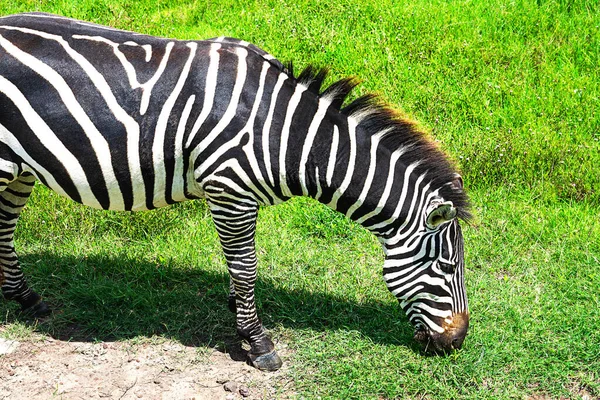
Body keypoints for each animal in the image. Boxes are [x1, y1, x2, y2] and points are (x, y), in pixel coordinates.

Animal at [0, 11, 472, 368]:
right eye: (448, 266)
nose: (458, 343)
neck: (289, 134)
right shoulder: (229, 189)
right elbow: (246, 266)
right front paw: (258, 342)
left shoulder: (233, 196)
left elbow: (236, 264)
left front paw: (237, 310)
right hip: (6, 163)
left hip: (21, 167)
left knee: (5, 228)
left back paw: (26, 298)